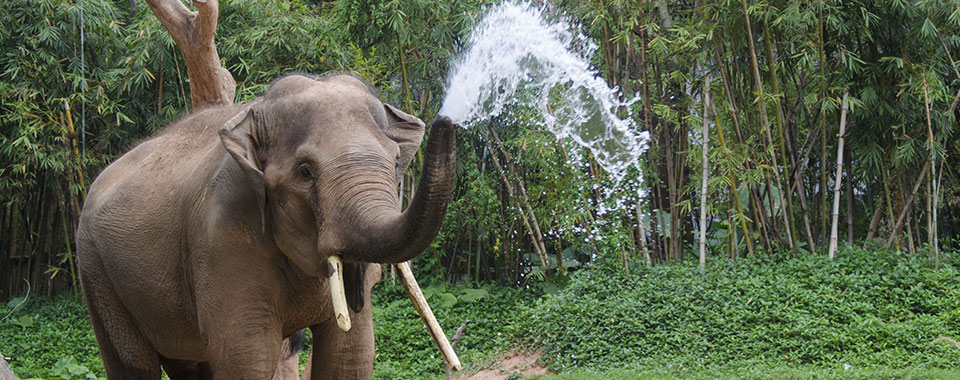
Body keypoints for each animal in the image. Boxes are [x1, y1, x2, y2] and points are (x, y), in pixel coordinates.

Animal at [75, 72, 458, 378]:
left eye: (395, 162)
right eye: (305, 172)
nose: (449, 121)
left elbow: (350, 355)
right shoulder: (223, 236)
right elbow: (246, 356)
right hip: (96, 272)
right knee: (132, 362)